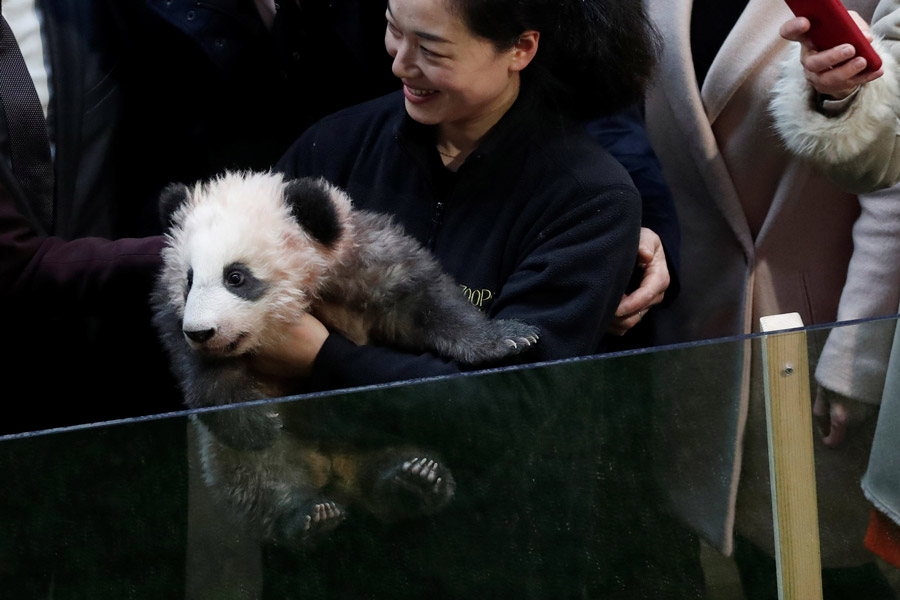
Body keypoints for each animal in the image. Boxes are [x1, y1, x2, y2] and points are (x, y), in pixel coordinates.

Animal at [151, 170, 539, 547]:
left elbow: (428, 304)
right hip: (245, 456)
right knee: (259, 477)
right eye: (188, 280)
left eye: (235, 276)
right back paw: (308, 515)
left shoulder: (366, 262)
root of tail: (336, 470)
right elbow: (199, 369)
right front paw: (251, 420)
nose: (201, 332)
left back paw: (413, 480)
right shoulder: (177, 318)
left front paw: (508, 337)